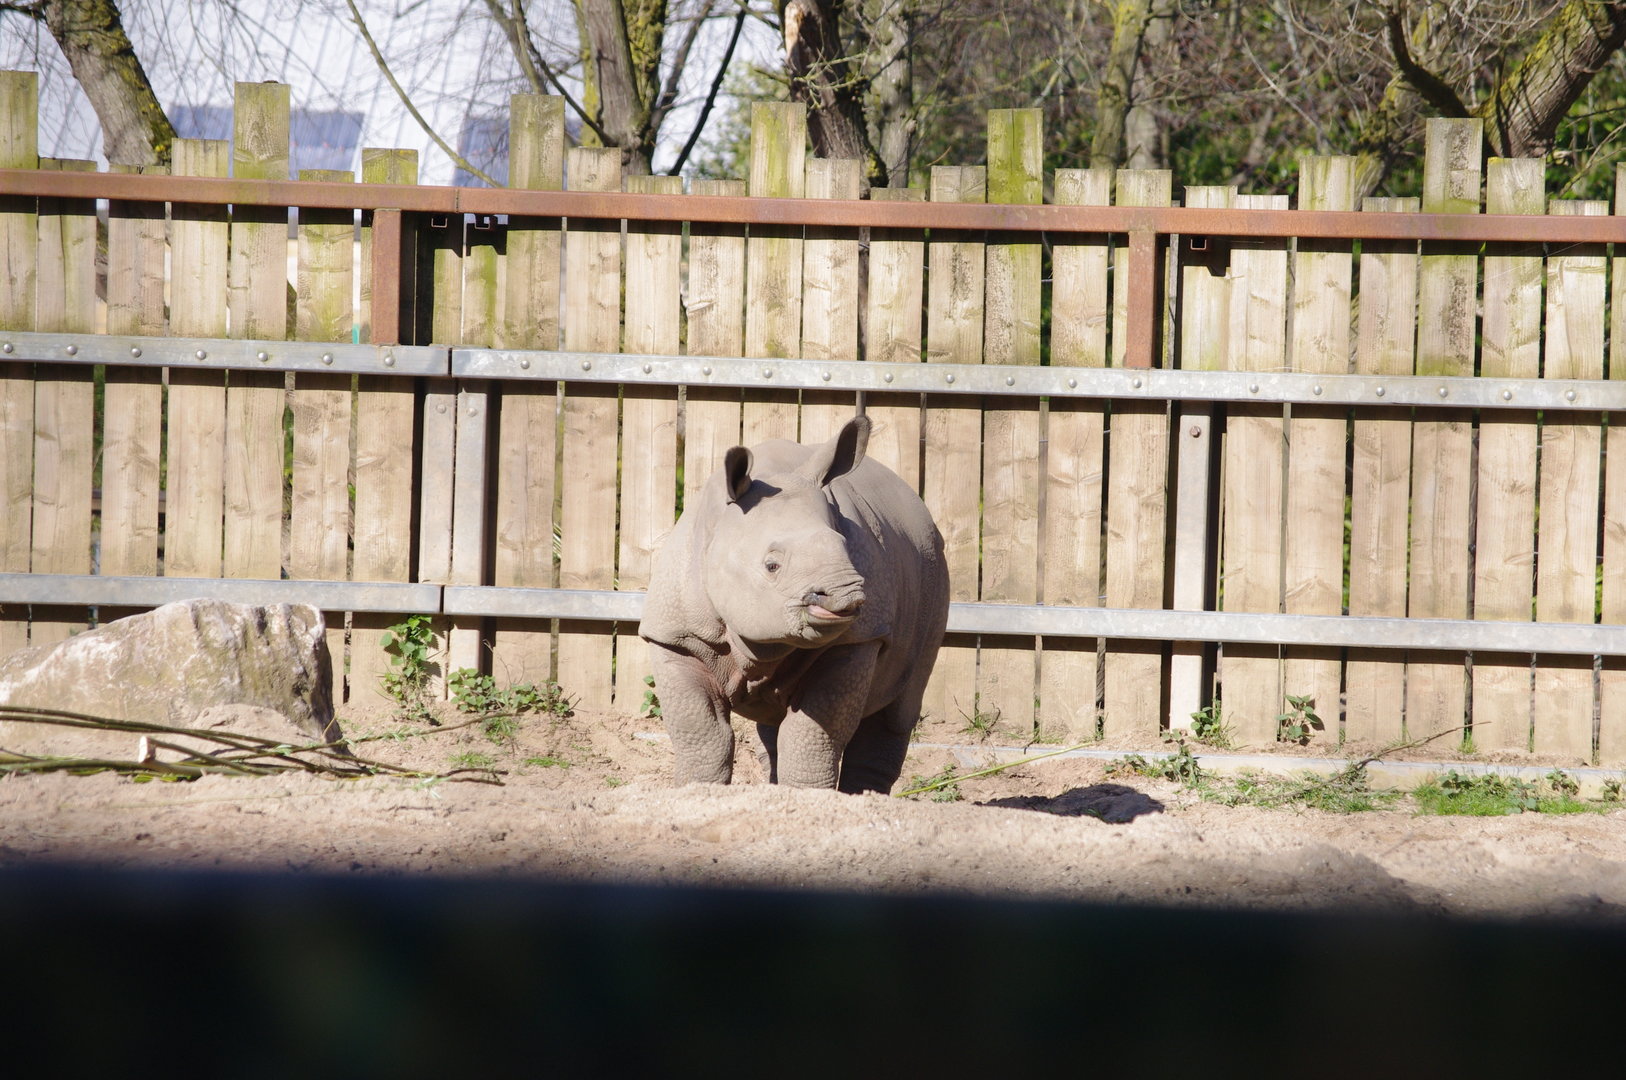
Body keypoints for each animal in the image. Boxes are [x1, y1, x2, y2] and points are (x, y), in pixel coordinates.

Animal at [639, 415, 950, 793]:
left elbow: (811, 737)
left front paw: (811, 796)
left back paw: (862, 796)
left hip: (934, 570)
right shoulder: (677, 636)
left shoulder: (858, 638)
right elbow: (704, 737)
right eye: (772, 565)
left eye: (846, 548)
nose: (846, 595)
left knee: (899, 708)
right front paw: (698, 791)